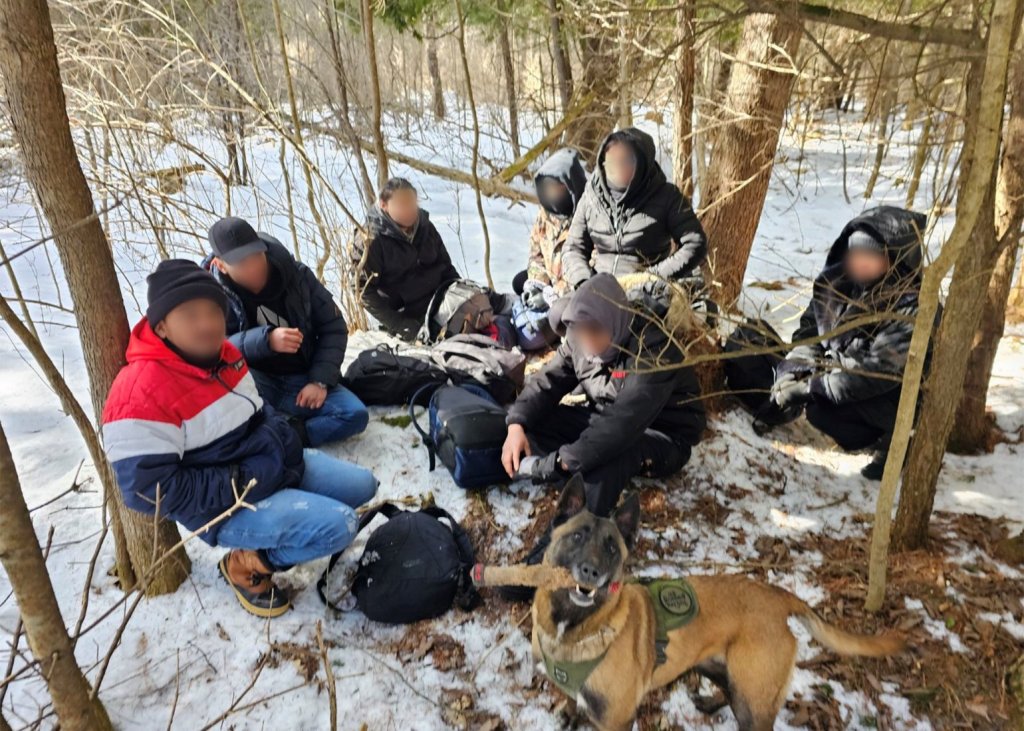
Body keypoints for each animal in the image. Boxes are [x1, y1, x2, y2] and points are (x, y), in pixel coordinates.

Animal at [528, 473, 905, 728]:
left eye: (611, 548)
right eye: (577, 536)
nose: (591, 572)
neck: (575, 626)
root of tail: (778, 596)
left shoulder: (616, 720)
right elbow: (573, 705)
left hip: (753, 699)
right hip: (719, 668)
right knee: (728, 689)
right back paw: (710, 703)